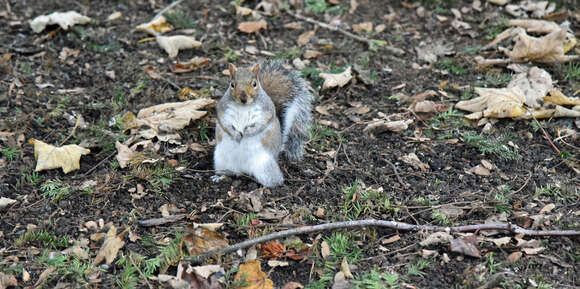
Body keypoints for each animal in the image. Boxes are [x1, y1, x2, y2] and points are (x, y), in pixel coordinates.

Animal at [212, 59, 312, 188]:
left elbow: (261, 124)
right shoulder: (223, 111)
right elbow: (225, 124)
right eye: (232, 84)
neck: (243, 107)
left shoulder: (266, 111)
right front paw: (236, 134)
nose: (243, 98)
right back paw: (219, 177)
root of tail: (243, 170)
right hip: (221, 162)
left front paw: (248, 132)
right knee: (228, 173)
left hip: (265, 166)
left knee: (274, 180)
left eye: (254, 84)